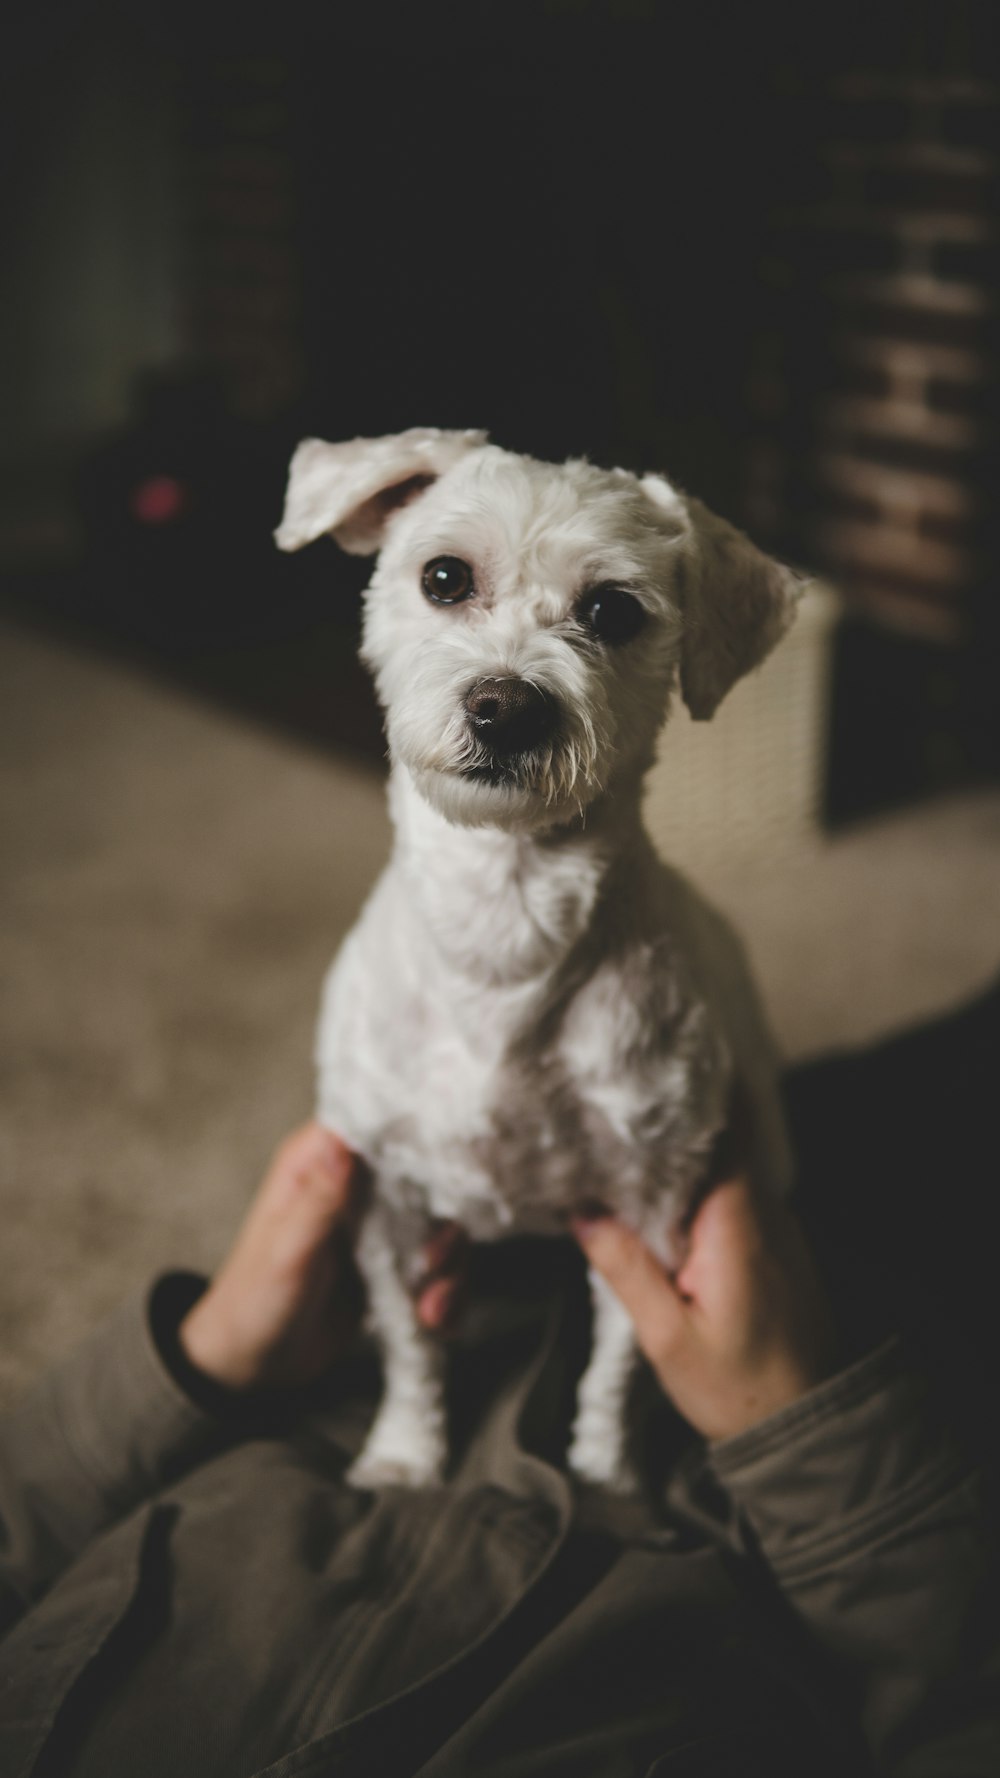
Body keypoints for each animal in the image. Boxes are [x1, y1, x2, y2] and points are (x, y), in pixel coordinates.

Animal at [274, 426, 800, 1486]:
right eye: (443, 576)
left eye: (614, 610)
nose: (506, 706)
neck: (506, 919)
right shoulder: (387, 1200)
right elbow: (410, 1343)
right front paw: (405, 1455)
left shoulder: (650, 1207)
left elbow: (622, 1358)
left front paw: (607, 1472)